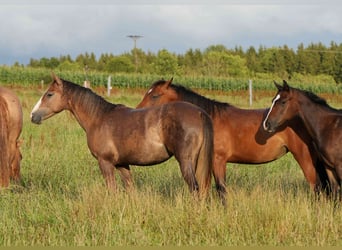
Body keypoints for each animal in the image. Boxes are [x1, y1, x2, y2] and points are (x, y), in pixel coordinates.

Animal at [31, 73, 214, 198]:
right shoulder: (122, 165)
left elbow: (112, 190)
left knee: (195, 189)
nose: (33, 115)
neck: (100, 118)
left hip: (186, 162)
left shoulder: (105, 163)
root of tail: (199, 113)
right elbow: (130, 190)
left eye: (49, 94)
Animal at [136, 77, 332, 200]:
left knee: (317, 187)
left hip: (305, 158)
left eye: (155, 95)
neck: (210, 118)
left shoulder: (218, 160)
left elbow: (221, 189)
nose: (137, 111)